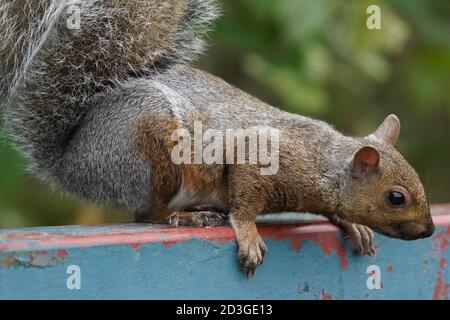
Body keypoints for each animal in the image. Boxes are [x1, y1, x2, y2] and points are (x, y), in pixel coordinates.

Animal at [0, 0, 436, 276]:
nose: (429, 231)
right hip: (152, 151)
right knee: (148, 214)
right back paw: (186, 216)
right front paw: (248, 235)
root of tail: (72, 162)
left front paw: (351, 223)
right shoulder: (260, 159)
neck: (323, 161)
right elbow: (243, 203)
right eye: (396, 198)